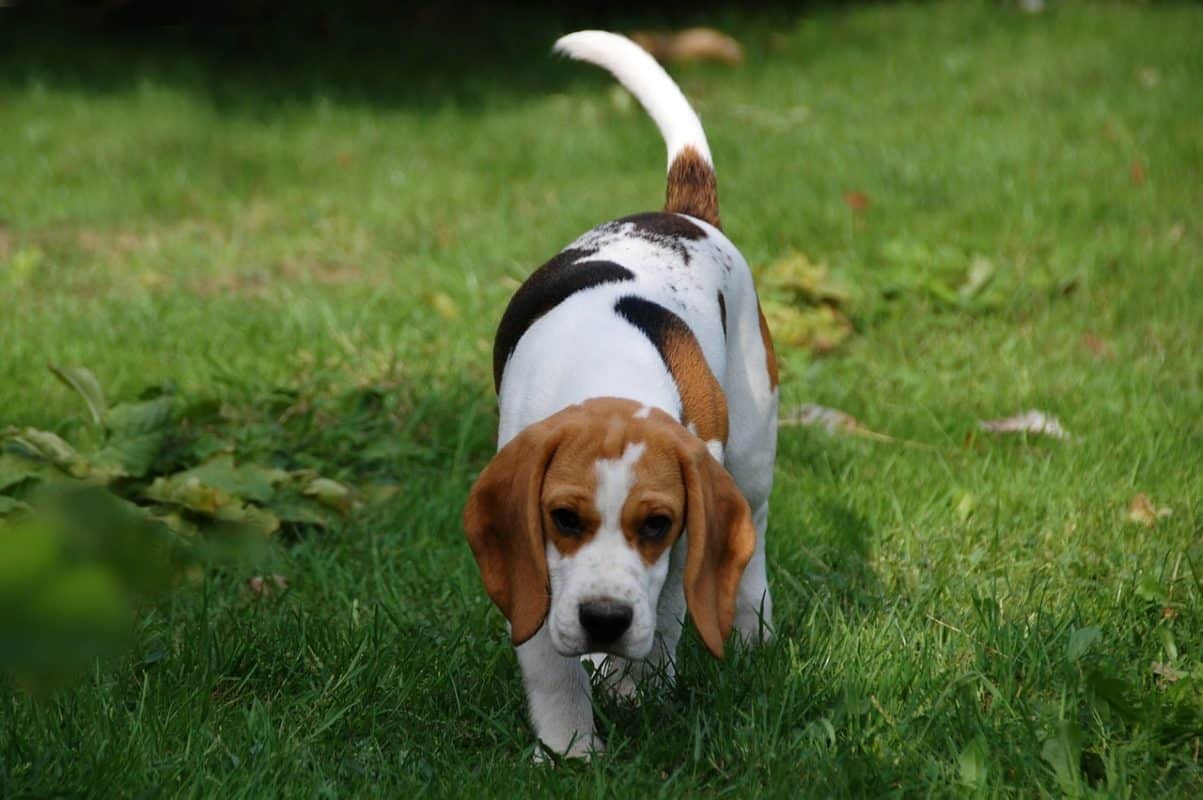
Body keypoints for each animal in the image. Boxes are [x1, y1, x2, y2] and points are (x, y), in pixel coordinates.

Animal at [459, 29, 779, 755]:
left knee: (752, 544)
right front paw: (570, 749)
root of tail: (682, 214)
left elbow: (666, 616)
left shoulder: (690, 534)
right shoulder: (534, 560)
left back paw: (753, 633)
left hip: (751, 453)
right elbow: (549, 659)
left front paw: (637, 687)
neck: (610, 376)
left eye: (656, 523)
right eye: (563, 518)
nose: (603, 620)